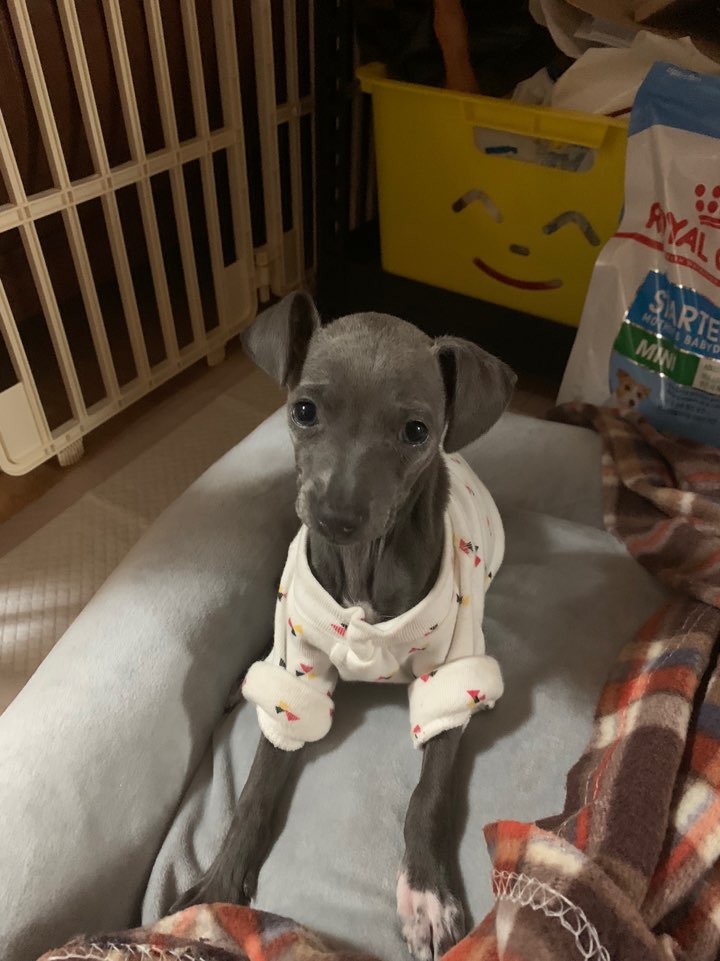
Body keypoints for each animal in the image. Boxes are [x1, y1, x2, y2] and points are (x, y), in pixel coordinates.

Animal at [172, 292, 516, 960]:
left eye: (416, 431)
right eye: (304, 410)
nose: (336, 517)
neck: (363, 568)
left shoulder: (452, 674)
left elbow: (427, 796)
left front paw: (426, 894)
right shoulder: (298, 668)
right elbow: (256, 787)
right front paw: (220, 887)